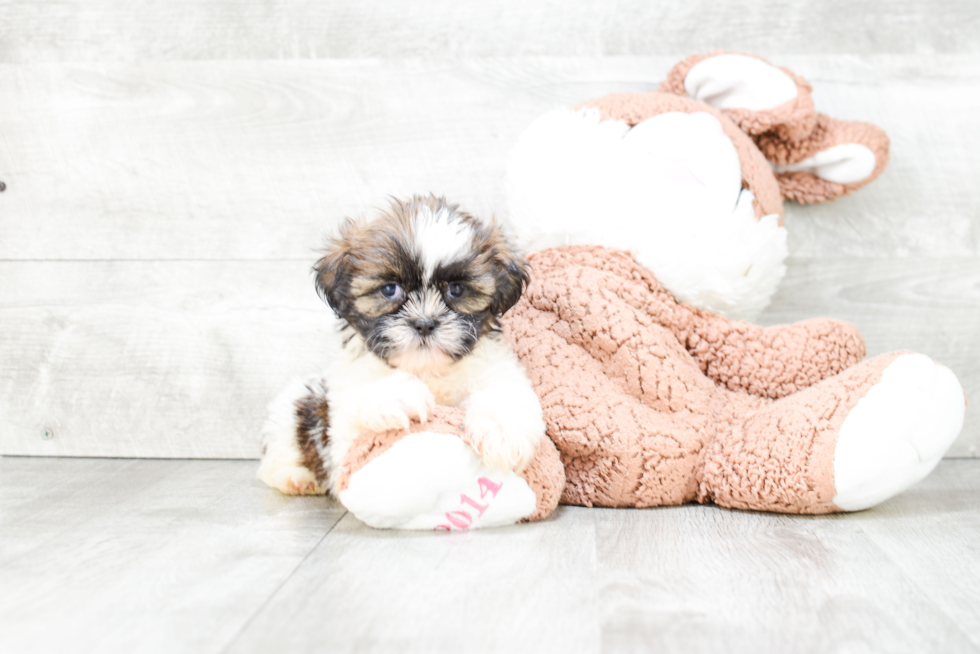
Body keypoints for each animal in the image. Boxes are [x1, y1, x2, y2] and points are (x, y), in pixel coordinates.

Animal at [255, 195, 544, 498]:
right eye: (389, 289)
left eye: (456, 290)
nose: (425, 323)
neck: (426, 370)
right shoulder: (342, 431)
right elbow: (358, 409)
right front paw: (399, 395)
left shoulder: (494, 369)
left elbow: (505, 391)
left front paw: (503, 432)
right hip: (294, 407)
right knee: (276, 455)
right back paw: (295, 477)